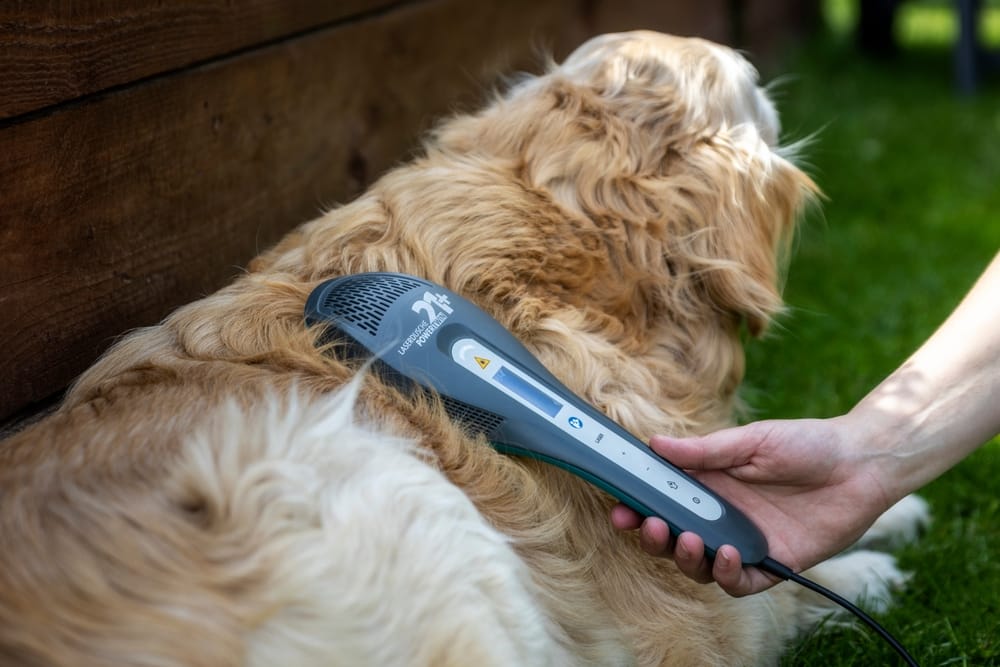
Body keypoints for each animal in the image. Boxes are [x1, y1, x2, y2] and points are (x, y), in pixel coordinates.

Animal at [0, 28, 928, 664]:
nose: (754, 60)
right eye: (752, 88)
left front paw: (887, 510)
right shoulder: (697, 620)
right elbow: (776, 597)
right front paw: (866, 570)